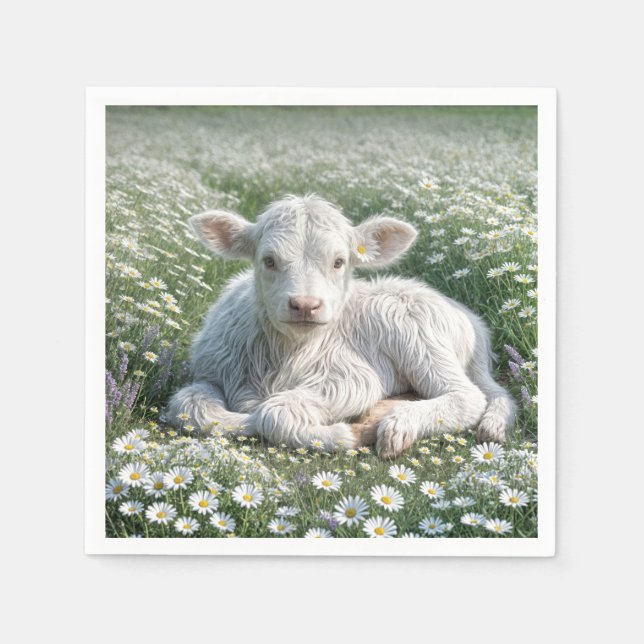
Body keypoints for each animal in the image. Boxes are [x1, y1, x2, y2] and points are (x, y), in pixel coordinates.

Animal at [168, 194, 515, 458]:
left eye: (339, 262)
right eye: (268, 260)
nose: (305, 305)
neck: (285, 354)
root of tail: (471, 320)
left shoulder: (351, 377)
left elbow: (272, 412)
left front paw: (344, 434)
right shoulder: (211, 371)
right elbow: (189, 406)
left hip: (417, 334)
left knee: (467, 396)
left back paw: (396, 422)